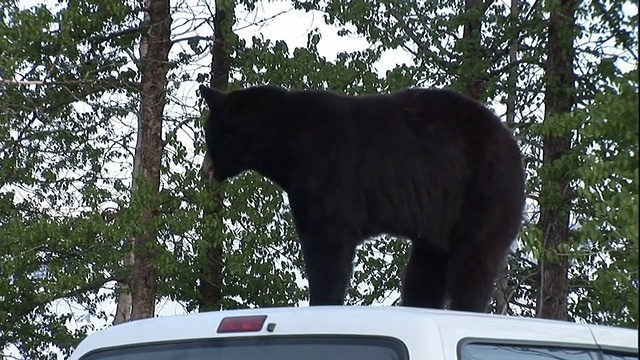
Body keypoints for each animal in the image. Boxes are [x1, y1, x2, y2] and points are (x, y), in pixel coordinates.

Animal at [200, 85, 524, 312]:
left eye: (209, 132)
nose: (206, 168)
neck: (285, 144)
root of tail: (512, 144)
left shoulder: (327, 173)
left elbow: (327, 246)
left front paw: (322, 300)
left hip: (485, 192)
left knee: (475, 260)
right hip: (438, 222)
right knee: (425, 270)